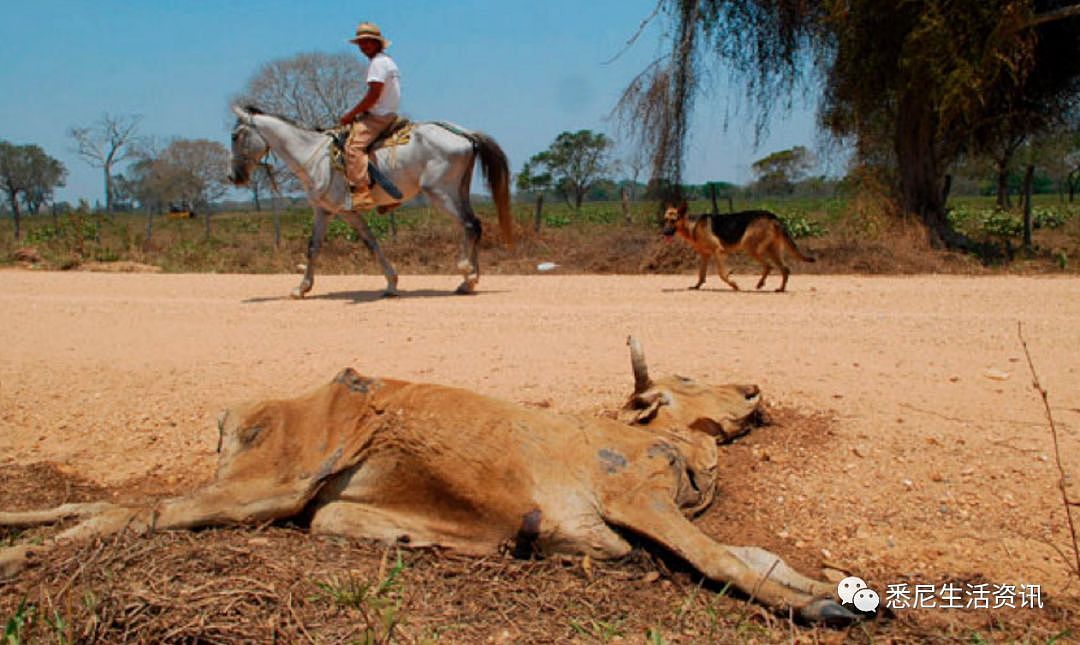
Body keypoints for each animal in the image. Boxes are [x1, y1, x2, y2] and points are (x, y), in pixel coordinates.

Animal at [225, 105, 511, 296]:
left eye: (235, 136)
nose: (233, 176)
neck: (313, 156)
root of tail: (465, 134)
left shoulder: (345, 211)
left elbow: (368, 242)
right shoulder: (324, 210)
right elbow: (319, 247)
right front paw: (302, 287)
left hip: (440, 192)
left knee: (469, 225)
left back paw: (466, 273)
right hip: (458, 191)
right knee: (474, 225)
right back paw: (469, 280)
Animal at [660, 202, 812, 293]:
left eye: (673, 221)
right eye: (665, 220)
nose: (664, 232)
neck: (692, 225)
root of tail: (772, 216)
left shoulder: (718, 251)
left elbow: (722, 274)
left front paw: (734, 285)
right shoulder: (705, 255)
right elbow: (701, 274)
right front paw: (696, 286)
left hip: (752, 248)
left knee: (769, 266)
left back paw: (761, 284)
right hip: (771, 251)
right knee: (784, 269)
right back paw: (780, 289)